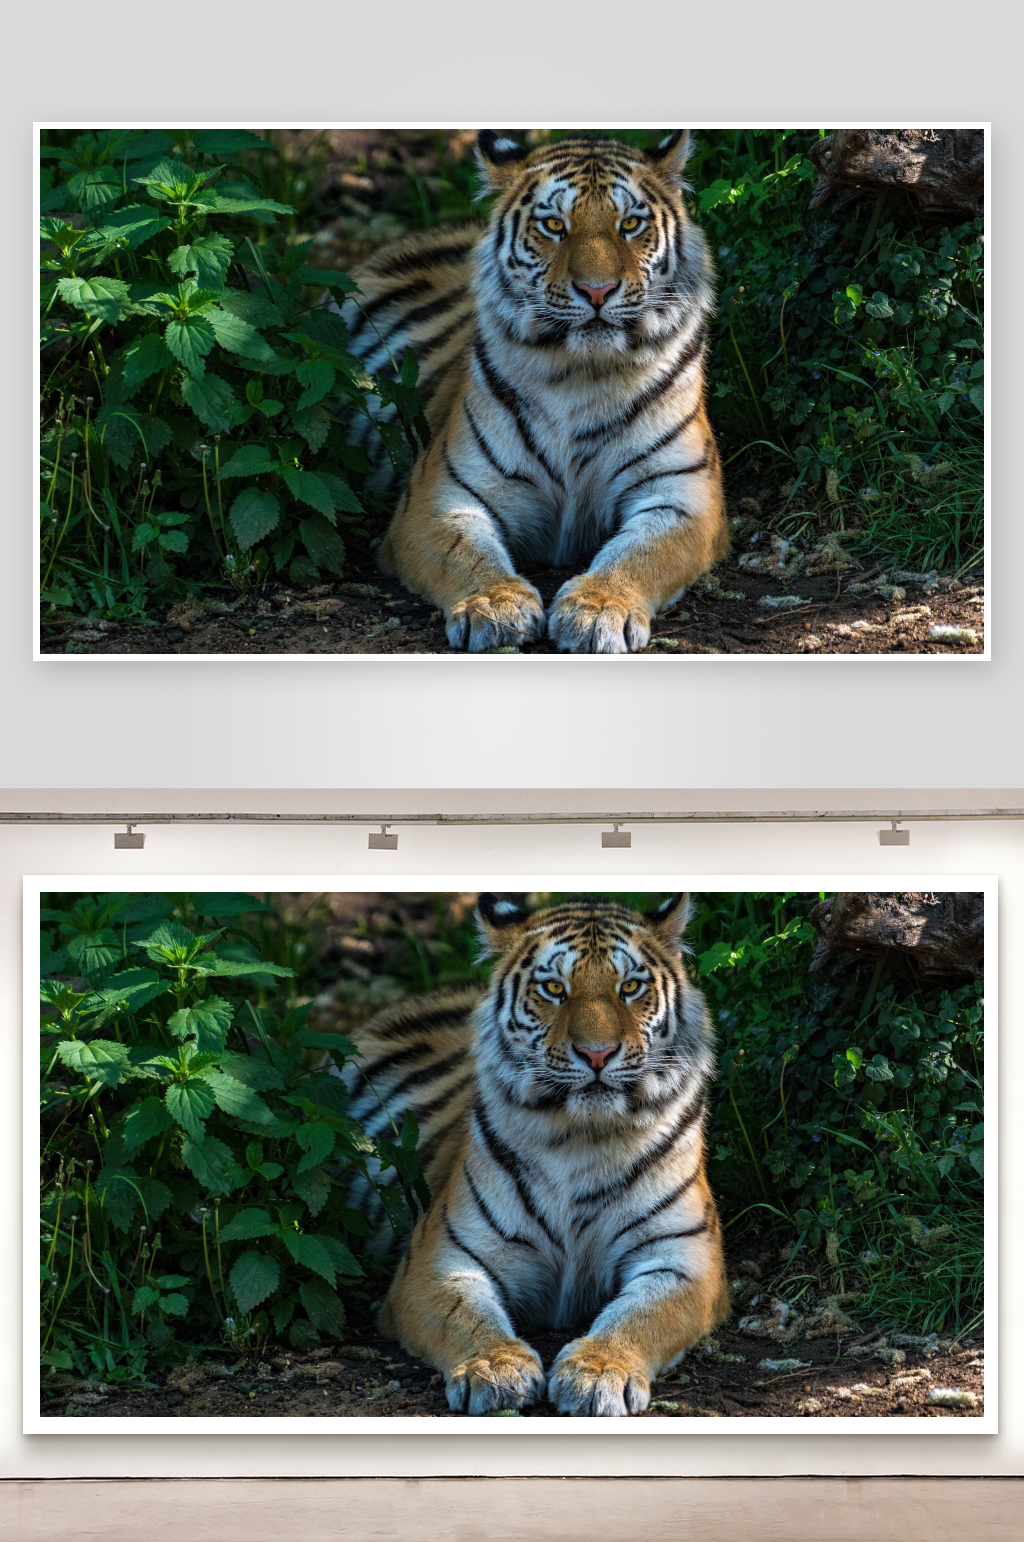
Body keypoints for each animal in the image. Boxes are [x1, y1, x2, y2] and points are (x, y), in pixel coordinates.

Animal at [339, 131, 729, 654]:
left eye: (630, 224)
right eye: (553, 225)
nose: (597, 291)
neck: (583, 376)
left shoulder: (684, 494)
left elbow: (642, 553)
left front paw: (598, 609)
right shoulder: (438, 495)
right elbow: (465, 552)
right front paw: (495, 604)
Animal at [339, 892, 730, 1416]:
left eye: (630, 987)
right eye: (553, 988)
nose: (597, 1054)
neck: (582, 1138)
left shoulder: (684, 1256)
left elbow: (643, 1316)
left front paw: (598, 1373)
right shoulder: (438, 1258)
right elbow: (465, 1315)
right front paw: (494, 1367)